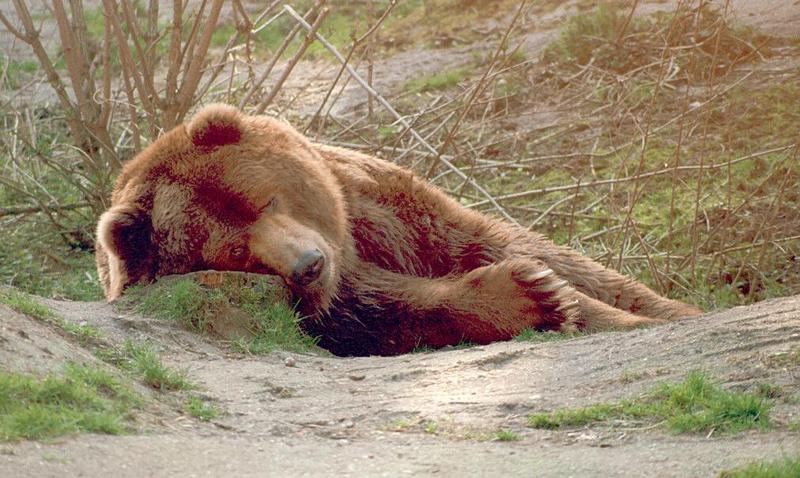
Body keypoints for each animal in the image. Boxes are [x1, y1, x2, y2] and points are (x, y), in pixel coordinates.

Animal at [97, 103, 700, 354]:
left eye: (264, 200)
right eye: (235, 250)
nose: (308, 264)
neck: (347, 241)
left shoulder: (386, 207)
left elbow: (513, 244)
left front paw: (665, 311)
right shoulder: (337, 298)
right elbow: (392, 310)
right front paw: (535, 294)